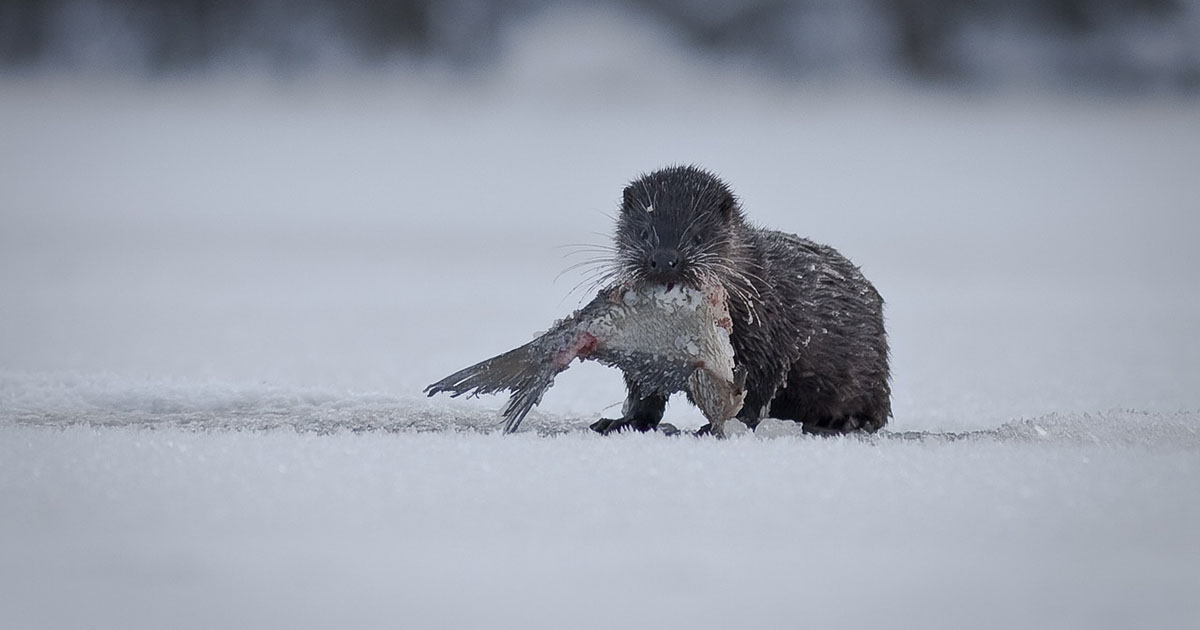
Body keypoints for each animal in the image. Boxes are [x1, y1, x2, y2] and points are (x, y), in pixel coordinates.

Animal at [590, 164, 892, 434]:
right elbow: (644, 391)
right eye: (643, 232)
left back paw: (846, 422)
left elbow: (757, 389)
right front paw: (622, 421)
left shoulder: (766, 335)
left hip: (871, 371)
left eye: (698, 236)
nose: (664, 259)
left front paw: (723, 425)